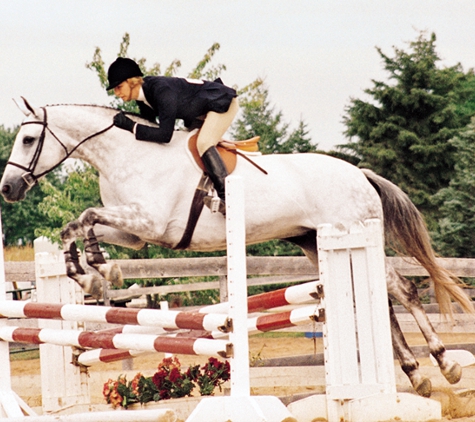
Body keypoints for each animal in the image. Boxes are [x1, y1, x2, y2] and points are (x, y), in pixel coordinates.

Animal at [1, 97, 474, 398]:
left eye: (27, 140)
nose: (8, 188)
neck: (126, 154)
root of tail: (360, 173)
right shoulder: (137, 231)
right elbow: (76, 226)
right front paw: (91, 273)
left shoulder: (149, 221)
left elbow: (86, 217)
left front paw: (98, 269)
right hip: (315, 242)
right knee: (379, 299)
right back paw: (417, 376)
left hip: (349, 231)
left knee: (402, 292)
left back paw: (445, 365)